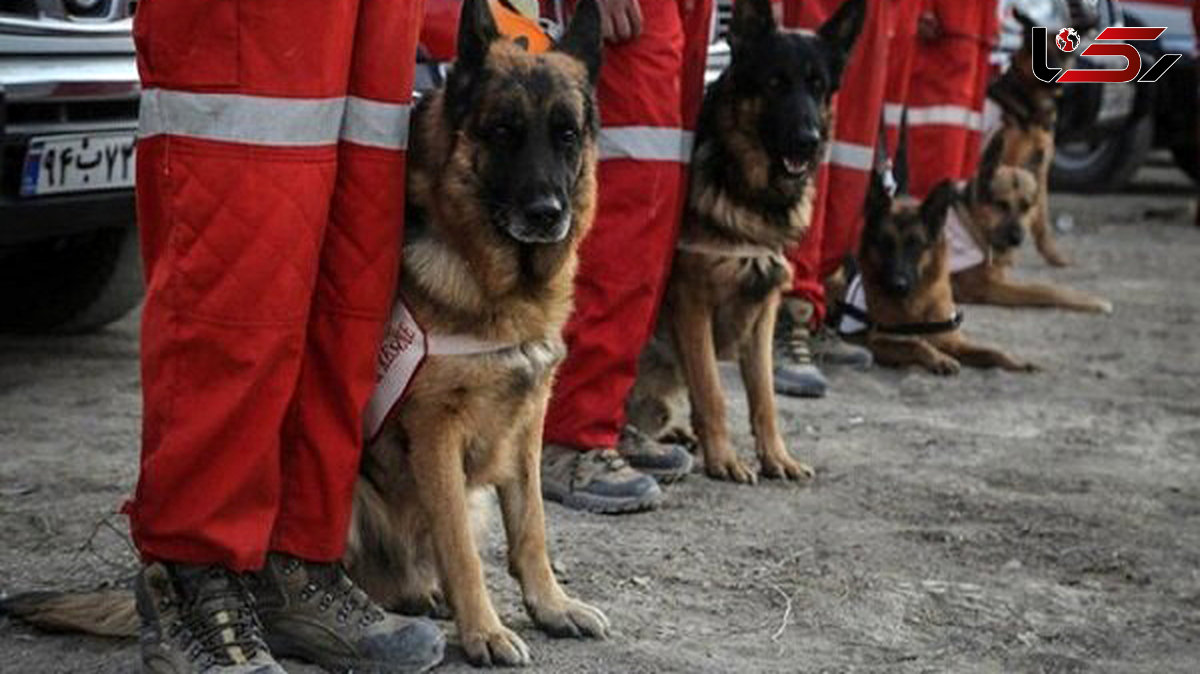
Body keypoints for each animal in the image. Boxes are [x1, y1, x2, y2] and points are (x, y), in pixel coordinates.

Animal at [0, 0, 604, 666]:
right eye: (501, 131)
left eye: (566, 134)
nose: (547, 214)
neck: (493, 275)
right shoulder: (435, 431)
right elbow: (462, 553)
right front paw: (485, 631)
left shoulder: (526, 422)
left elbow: (531, 527)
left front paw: (550, 606)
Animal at [624, 0, 868, 482]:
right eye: (775, 83)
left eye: (818, 87)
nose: (809, 141)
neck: (749, 191)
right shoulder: (692, 302)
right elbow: (712, 390)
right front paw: (724, 458)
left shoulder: (765, 305)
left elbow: (764, 397)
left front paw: (777, 456)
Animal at [945, 135, 1113, 314]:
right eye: (1001, 205)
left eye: (1026, 206)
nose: (1017, 238)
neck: (973, 222)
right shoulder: (984, 287)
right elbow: (1043, 289)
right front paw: (1091, 301)